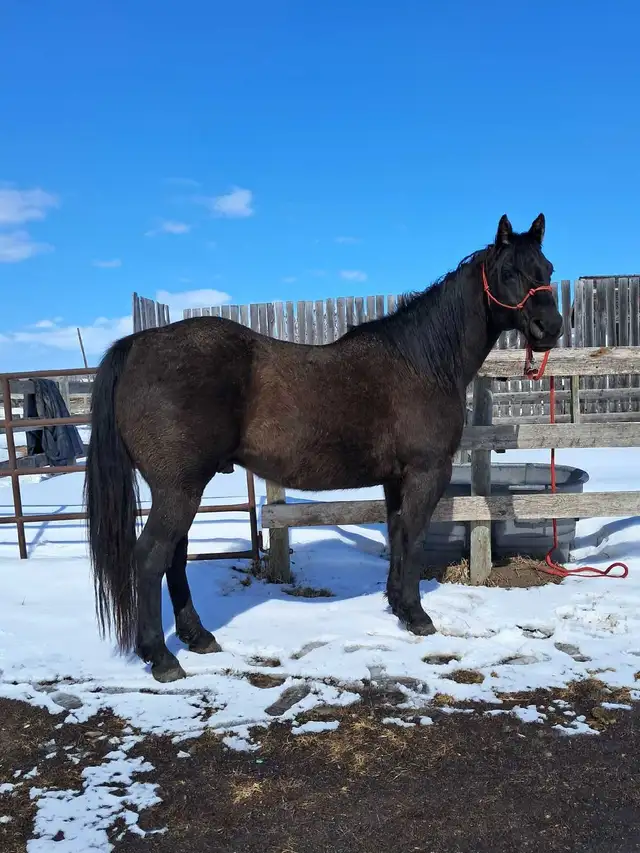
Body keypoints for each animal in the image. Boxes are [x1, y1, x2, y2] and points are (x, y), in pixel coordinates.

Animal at [85, 213, 562, 682]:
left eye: (548, 269)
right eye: (509, 272)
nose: (550, 328)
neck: (422, 363)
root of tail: (137, 344)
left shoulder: (396, 480)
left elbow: (397, 533)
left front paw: (397, 606)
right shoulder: (426, 472)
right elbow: (413, 538)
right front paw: (417, 616)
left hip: (180, 490)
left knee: (176, 559)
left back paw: (198, 637)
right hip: (179, 489)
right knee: (151, 558)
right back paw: (162, 658)